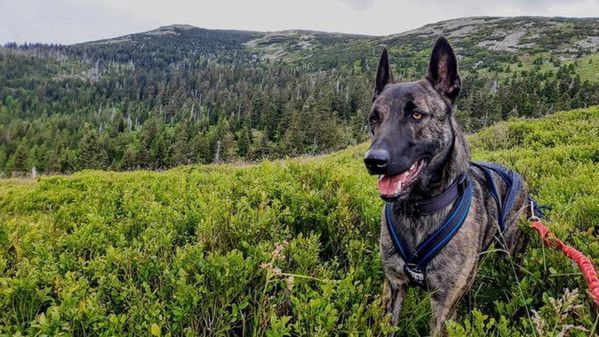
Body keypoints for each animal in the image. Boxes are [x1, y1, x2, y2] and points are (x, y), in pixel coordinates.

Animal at [366, 35, 528, 334]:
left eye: (417, 115)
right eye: (375, 118)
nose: (374, 161)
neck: (419, 208)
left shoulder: (443, 304)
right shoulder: (394, 285)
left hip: (510, 254)